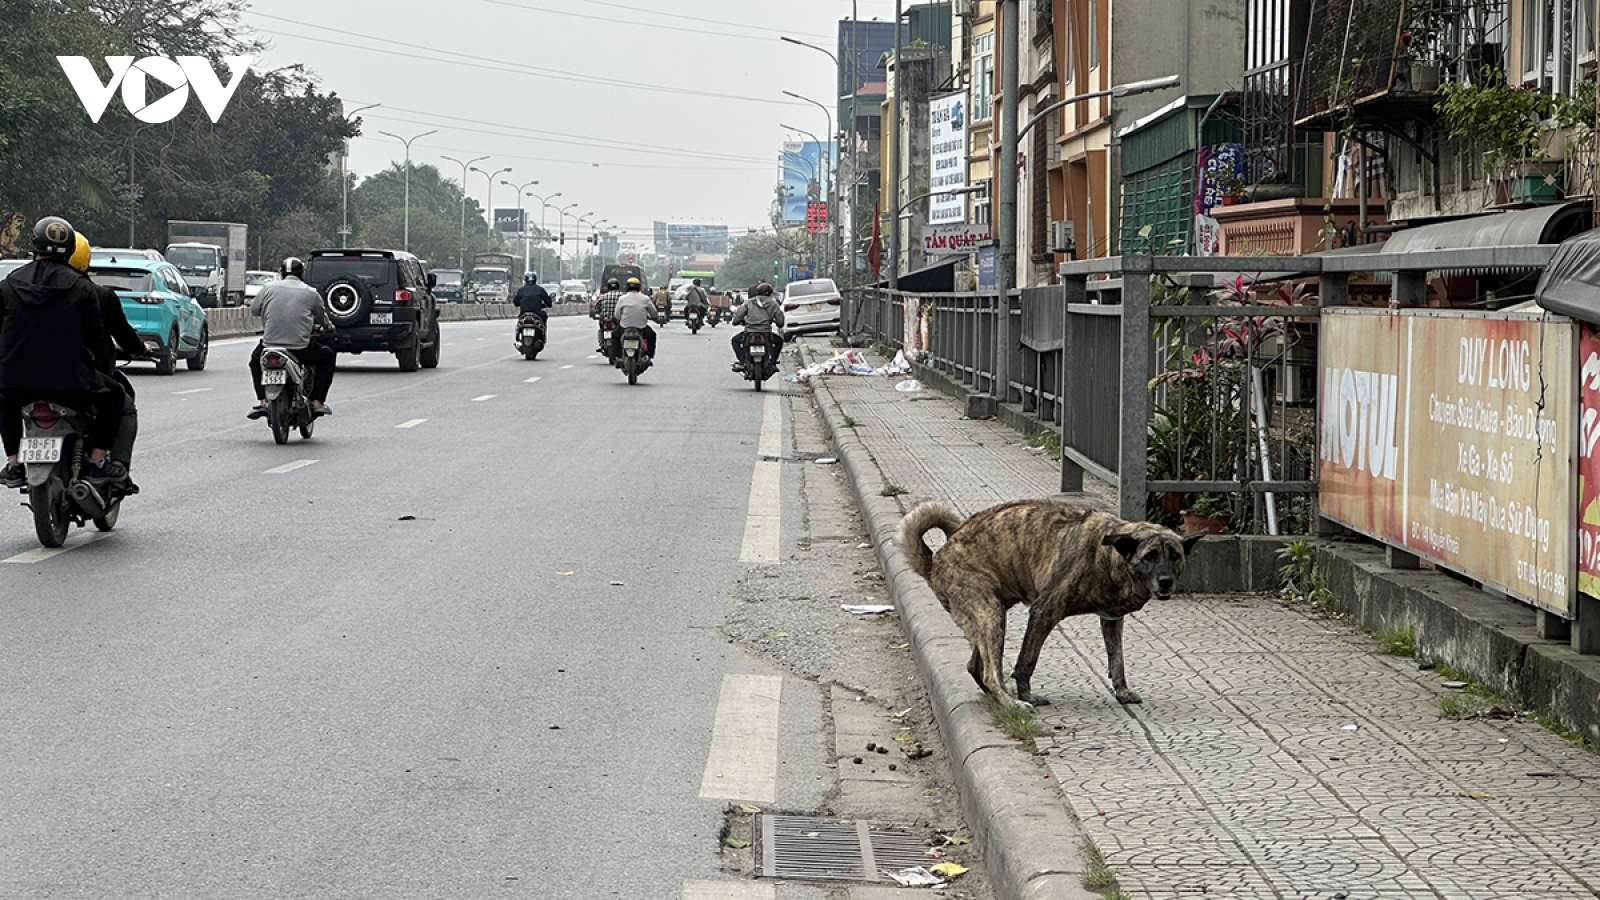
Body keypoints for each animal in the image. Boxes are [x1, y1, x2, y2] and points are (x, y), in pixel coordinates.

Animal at [902, 496, 1203, 707]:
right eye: (1150, 556)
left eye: (1175, 555)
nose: (1165, 581)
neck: (1108, 554)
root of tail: (936, 559)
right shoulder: (1044, 612)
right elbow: (1027, 661)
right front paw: (1027, 694)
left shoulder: (1111, 620)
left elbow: (1117, 661)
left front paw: (1122, 692)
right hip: (991, 614)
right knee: (990, 672)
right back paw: (1011, 702)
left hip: (988, 616)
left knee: (977, 667)